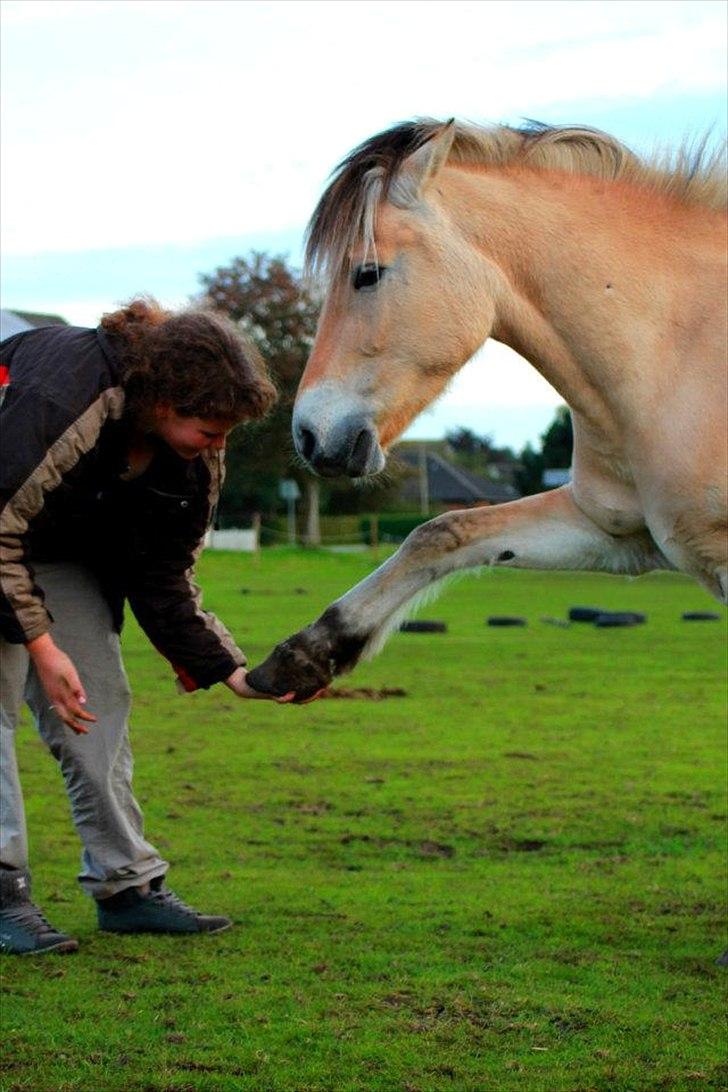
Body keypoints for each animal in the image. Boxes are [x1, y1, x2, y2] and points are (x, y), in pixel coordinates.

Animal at [247, 118, 727, 702]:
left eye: (367, 273)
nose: (310, 435)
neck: (678, 357)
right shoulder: (616, 531)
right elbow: (440, 533)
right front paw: (302, 657)